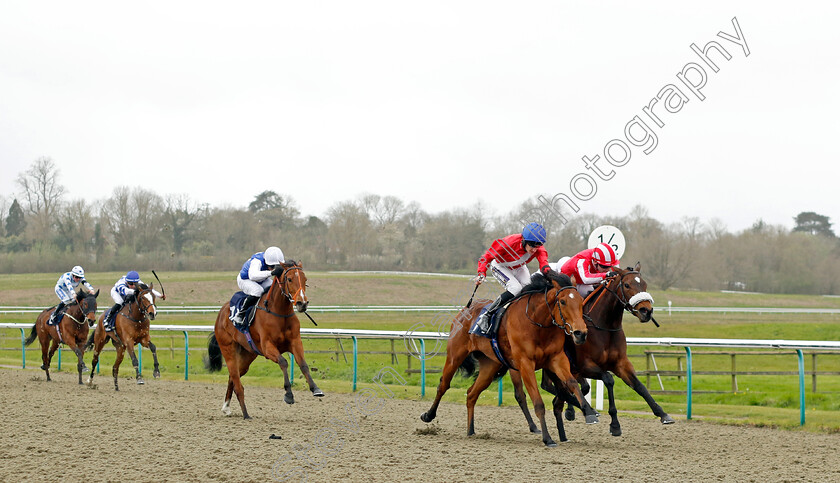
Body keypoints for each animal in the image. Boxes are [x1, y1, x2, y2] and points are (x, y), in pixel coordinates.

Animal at [205, 260, 324, 420]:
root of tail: (221, 313)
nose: (302, 303)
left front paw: (315, 389)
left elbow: (303, 365)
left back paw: (226, 407)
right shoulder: (267, 347)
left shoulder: (295, 342)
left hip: (248, 355)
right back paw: (245, 414)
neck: (279, 313)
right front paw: (289, 395)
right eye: (289, 279)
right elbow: (283, 362)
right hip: (228, 349)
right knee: (237, 381)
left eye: (305, 280)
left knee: (233, 378)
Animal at [420, 270, 596, 448]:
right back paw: (428, 415)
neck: (538, 323)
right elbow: (538, 402)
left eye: (580, 302)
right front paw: (547, 438)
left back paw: (470, 430)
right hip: (455, 356)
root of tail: (466, 309)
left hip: (489, 366)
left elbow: (572, 383)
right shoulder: (525, 364)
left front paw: (589, 412)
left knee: (471, 394)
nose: (581, 333)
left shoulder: (556, 359)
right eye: (563, 301)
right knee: (443, 385)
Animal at [508, 262, 672, 436]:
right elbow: (608, 379)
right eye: (627, 285)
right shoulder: (585, 366)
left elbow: (639, 386)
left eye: (645, 285)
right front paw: (614, 424)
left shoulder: (620, 363)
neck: (604, 326)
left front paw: (662, 413)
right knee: (535, 389)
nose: (646, 311)